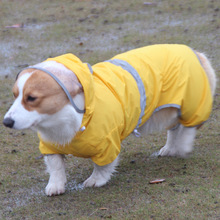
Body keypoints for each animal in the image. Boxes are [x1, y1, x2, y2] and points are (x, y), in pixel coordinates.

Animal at [3, 44, 217, 196]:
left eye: (31, 98)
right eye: (15, 95)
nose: (6, 122)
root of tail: (195, 52)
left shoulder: (107, 144)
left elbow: (102, 167)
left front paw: (95, 181)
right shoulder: (50, 145)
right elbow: (55, 166)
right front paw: (55, 186)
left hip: (192, 105)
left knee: (189, 127)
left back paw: (183, 147)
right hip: (171, 112)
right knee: (174, 129)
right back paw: (169, 148)